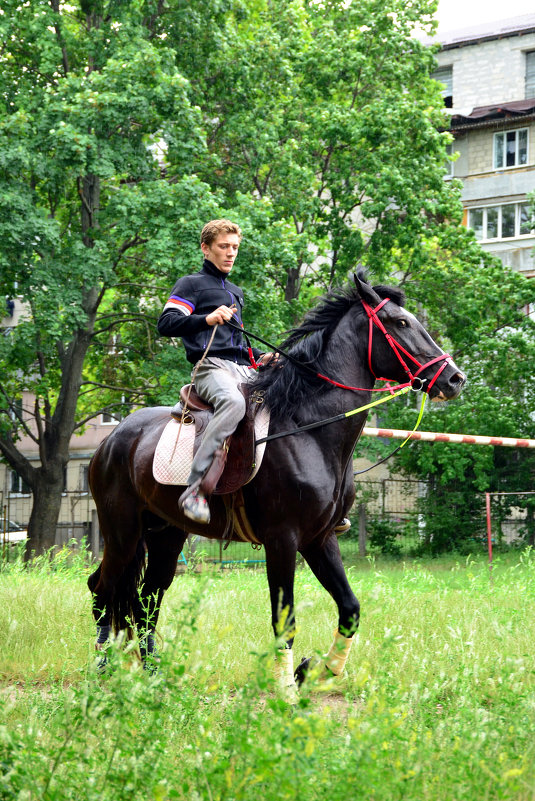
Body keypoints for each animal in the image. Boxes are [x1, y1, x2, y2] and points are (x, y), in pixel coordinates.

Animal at [88, 274, 464, 692]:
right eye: (400, 323)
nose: (454, 378)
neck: (308, 427)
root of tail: (114, 438)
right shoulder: (282, 539)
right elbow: (285, 619)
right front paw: (286, 685)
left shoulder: (320, 538)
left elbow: (350, 608)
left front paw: (318, 670)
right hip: (122, 533)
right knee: (104, 588)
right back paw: (103, 665)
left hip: (165, 535)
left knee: (145, 600)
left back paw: (153, 672)